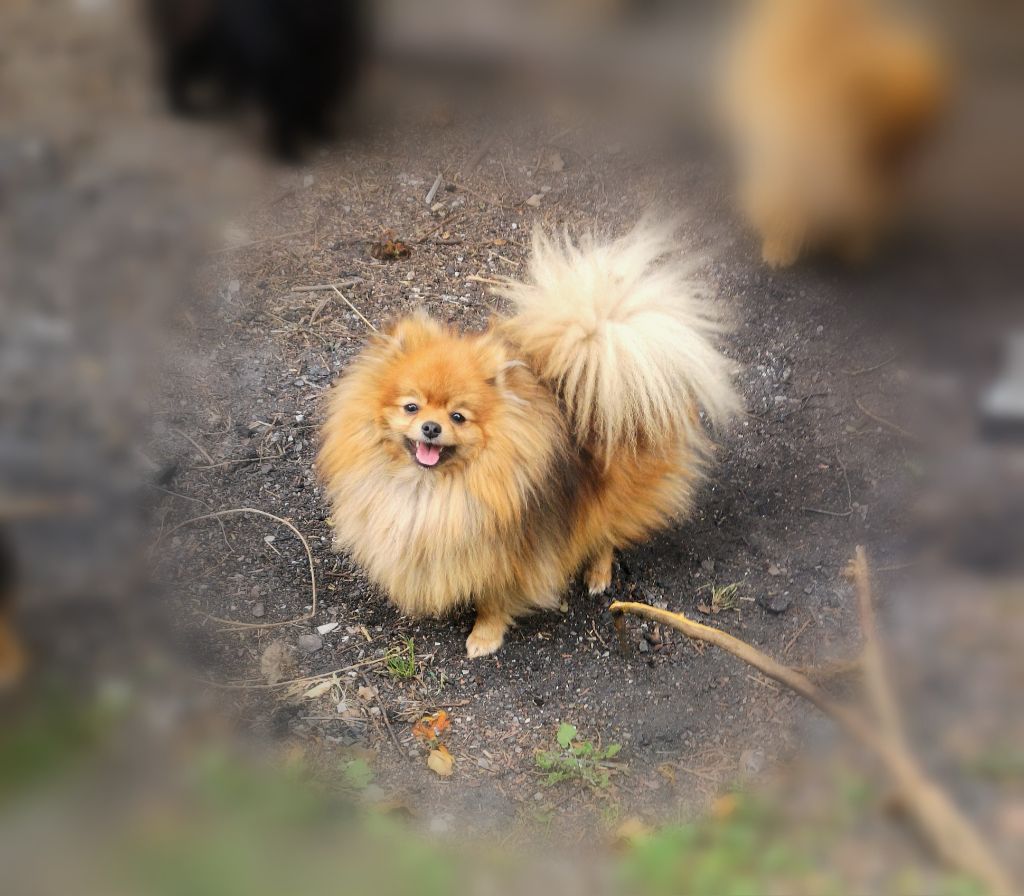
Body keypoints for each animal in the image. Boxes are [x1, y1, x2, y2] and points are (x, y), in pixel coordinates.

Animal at [317, 226, 737, 659]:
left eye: (458, 416)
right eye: (411, 407)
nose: (431, 427)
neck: (430, 488)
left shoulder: (510, 555)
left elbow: (493, 600)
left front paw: (484, 636)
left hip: (618, 487)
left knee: (607, 529)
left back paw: (598, 574)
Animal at [720, 0, 942, 268]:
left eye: (919, 144)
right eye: (888, 145)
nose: (907, 173)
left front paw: (852, 247)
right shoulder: (788, 168)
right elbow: (783, 212)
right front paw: (779, 250)